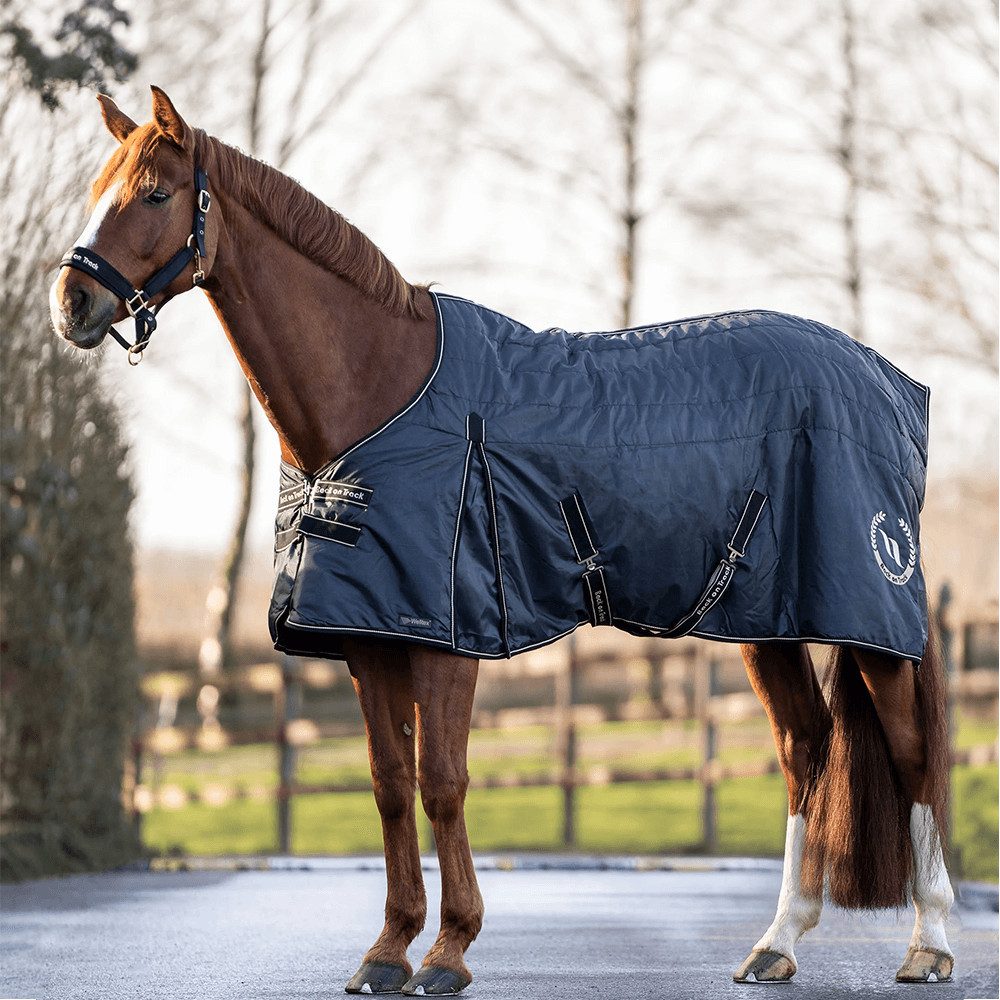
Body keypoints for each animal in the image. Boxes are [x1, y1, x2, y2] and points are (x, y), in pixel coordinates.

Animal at [50, 87, 955, 994]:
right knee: (808, 752)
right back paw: (778, 943)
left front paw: (449, 950)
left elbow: (443, 785)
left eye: (155, 194)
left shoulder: (447, 640)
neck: (380, 396)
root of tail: (890, 383)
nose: (71, 303)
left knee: (915, 757)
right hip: (770, 626)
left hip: (871, 627)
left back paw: (930, 943)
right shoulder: (369, 639)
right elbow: (389, 786)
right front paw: (387, 950)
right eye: (97, 187)